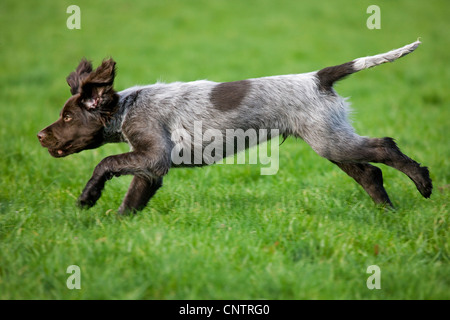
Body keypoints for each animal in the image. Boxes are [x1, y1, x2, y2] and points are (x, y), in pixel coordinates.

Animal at [37, 40, 430, 215]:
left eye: (68, 118)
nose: (40, 135)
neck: (127, 107)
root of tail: (318, 77)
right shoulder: (151, 168)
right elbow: (132, 200)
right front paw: (117, 224)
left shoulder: (152, 154)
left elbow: (104, 163)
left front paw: (88, 197)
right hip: (330, 140)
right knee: (371, 174)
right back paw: (387, 211)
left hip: (331, 142)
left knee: (385, 146)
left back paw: (422, 183)